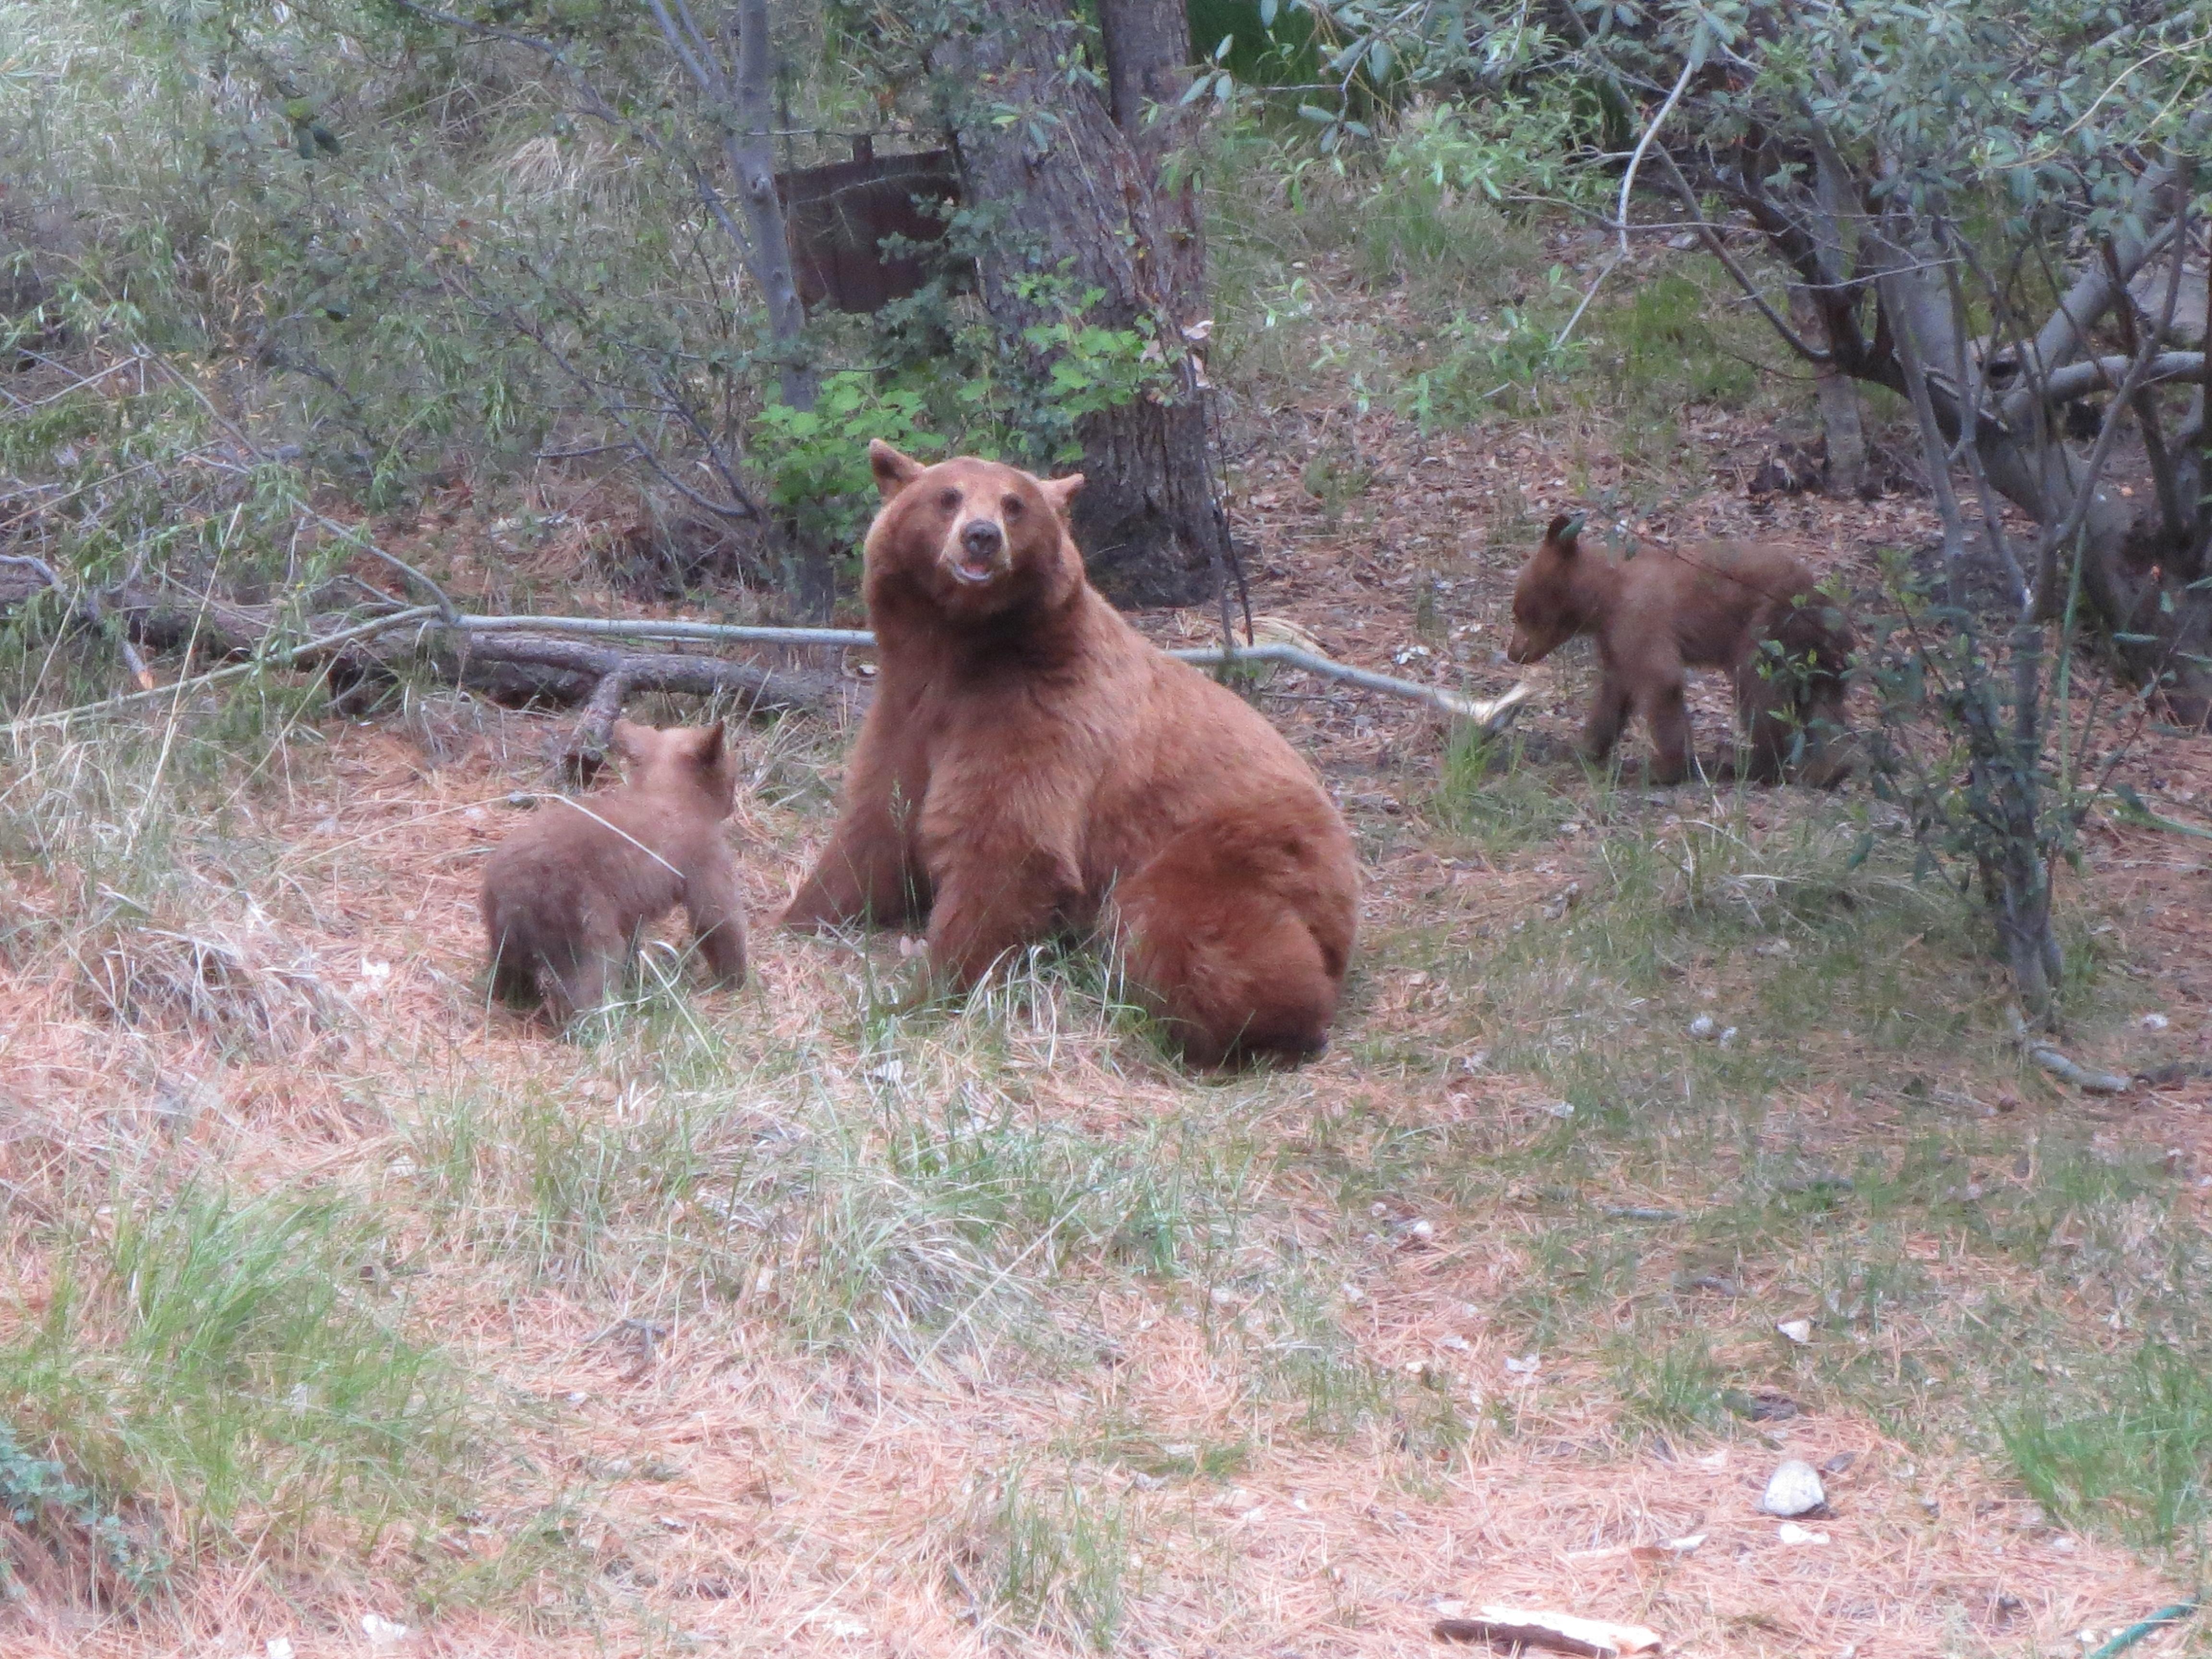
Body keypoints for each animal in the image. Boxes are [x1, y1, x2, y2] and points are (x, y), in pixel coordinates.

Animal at [779, 442, 1362, 1066]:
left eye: (1014, 504)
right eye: (948, 496)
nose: (981, 537)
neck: (960, 652)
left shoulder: (1044, 715)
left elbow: (1007, 844)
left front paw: (924, 991)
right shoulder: (909, 712)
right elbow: (877, 822)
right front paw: (799, 914)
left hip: (1232, 845)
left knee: (1181, 930)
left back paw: (1254, 1027)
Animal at [1513, 511, 1858, 787]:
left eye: (1521, 612)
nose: (1514, 652)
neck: (1604, 593)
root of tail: (1824, 603)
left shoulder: (1639, 616)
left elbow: (1661, 680)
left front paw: (1662, 770)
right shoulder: (1613, 637)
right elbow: (1614, 691)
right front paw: (1578, 748)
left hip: (1769, 630)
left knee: (1761, 695)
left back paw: (1741, 762)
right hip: (1817, 655)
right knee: (1823, 708)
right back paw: (1829, 771)